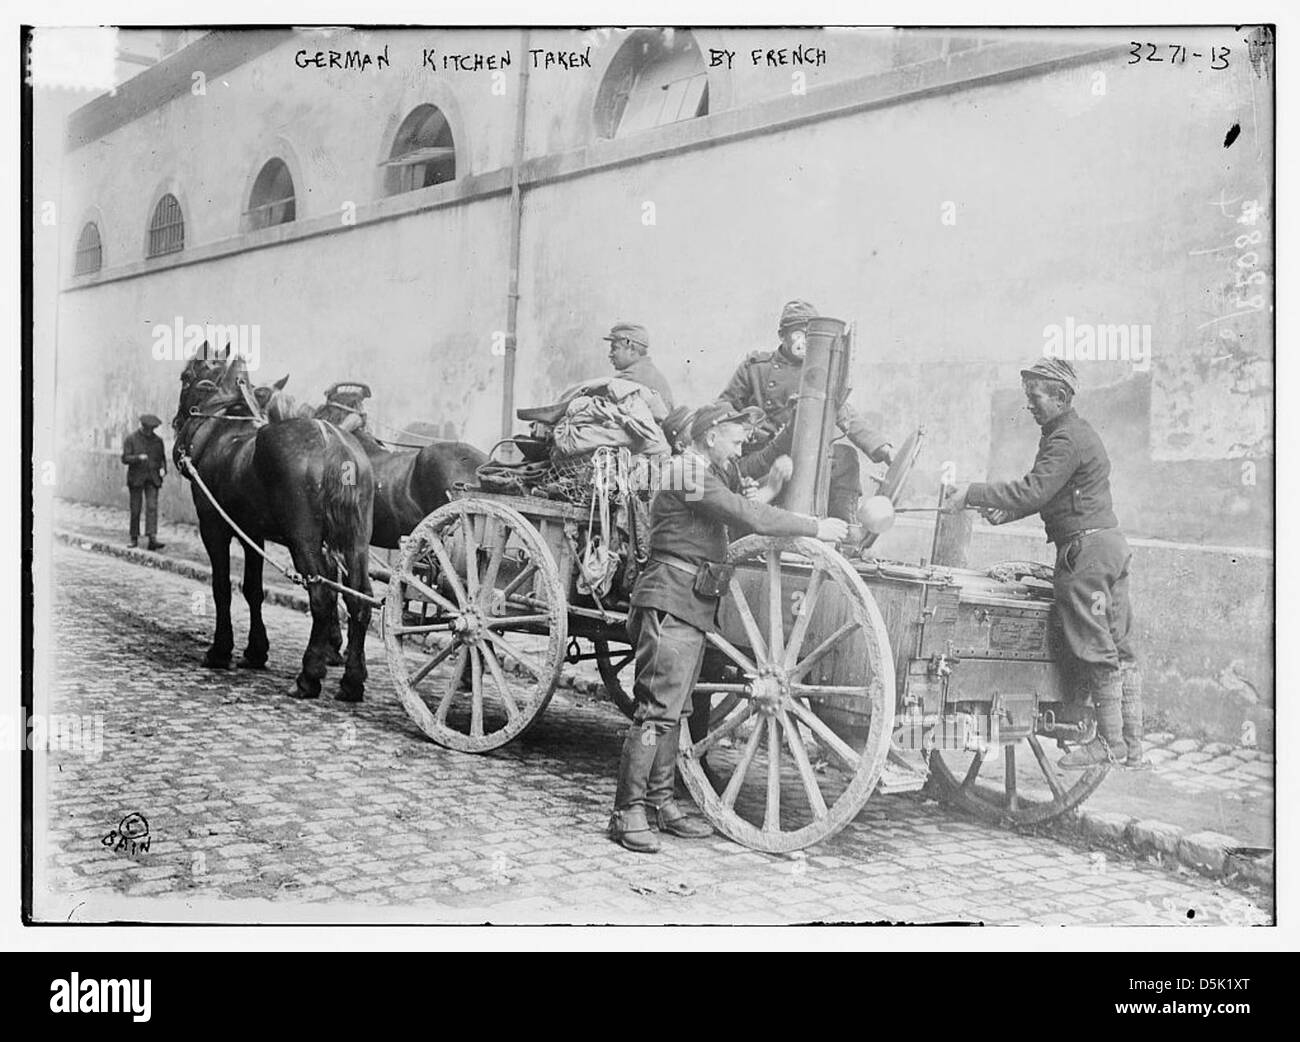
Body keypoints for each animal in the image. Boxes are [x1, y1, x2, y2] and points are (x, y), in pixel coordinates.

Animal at [172, 348, 377, 696]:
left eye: (187, 377)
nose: (176, 422)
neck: (221, 430)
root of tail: (336, 446)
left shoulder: (214, 527)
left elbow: (222, 587)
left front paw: (220, 650)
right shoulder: (252, 533)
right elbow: (253, 589)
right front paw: (256, 651)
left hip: (303, 540)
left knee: (322, 596)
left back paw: (309, 676)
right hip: (356, 541)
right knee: (358, 598)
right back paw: (352, 681)